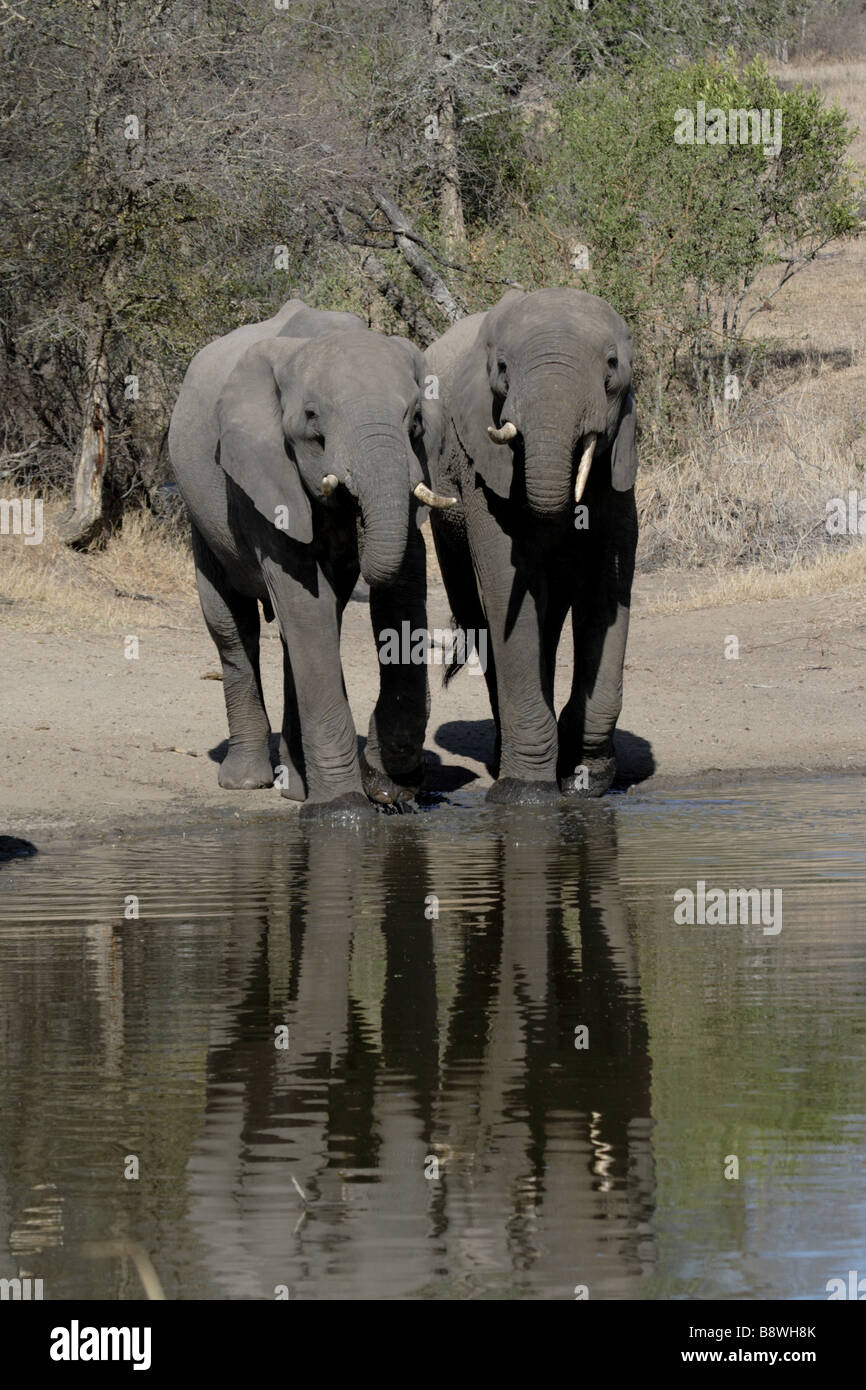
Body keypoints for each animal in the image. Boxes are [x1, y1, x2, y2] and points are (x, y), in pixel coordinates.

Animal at [167, 294, 453, 811]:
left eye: (417, 422)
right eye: (313, 419)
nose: (395, 790)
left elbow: (402, 578)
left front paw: (384, 784)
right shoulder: (262, 470)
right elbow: (303, 593)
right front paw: (343, 808)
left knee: (297, 635)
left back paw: (296, 788)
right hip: (200, 512)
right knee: (233, 628)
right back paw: (247, 781)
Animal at [428, 284, 636, 806]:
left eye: (611, 365)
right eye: (502, 369)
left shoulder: (620, 469)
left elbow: (606, 594)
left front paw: (586, 781)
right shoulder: (481, 475)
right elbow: (509, 585)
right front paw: (525, 794)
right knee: (483, 616)